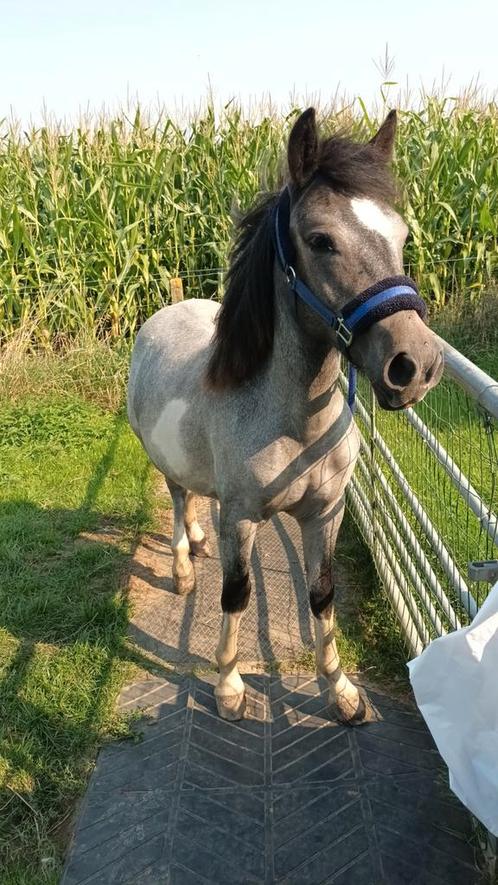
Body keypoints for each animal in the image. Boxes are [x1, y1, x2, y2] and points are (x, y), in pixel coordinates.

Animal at [128, 105, 444, 724]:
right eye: (321, 240)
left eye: (400, 235)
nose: (415, 365)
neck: (296, 426)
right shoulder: (243, 517)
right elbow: (235, 594)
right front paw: (229, 686)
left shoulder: (325, 513)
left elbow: (321, 594)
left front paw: (340, 691)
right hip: (163, 463)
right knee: (178, 498)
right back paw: (182, 567)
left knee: (194, 499)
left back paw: (197, 540)